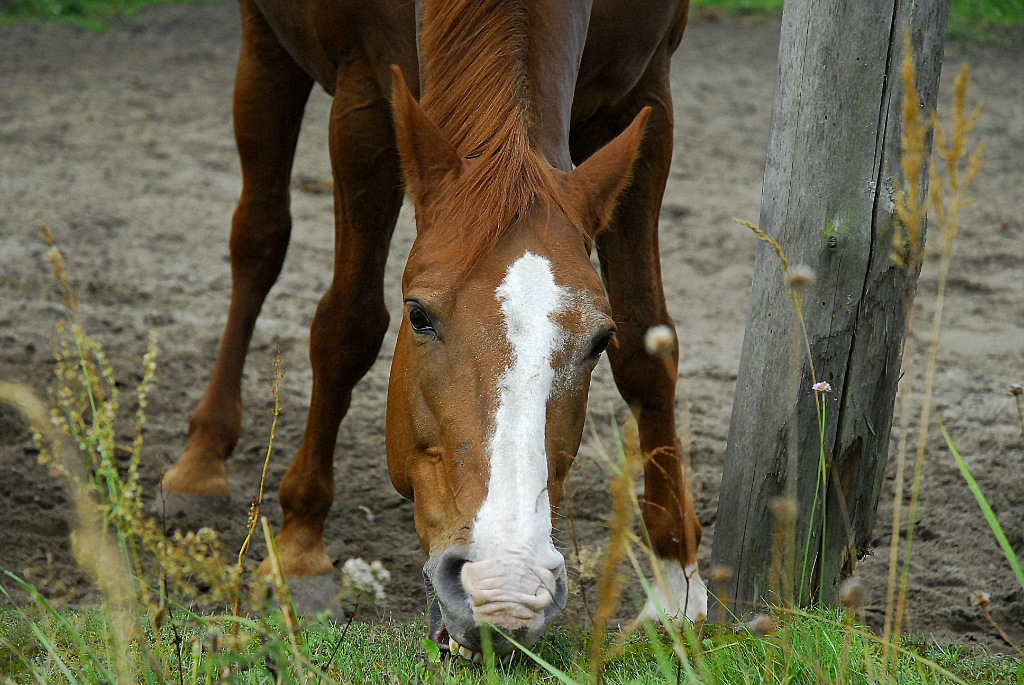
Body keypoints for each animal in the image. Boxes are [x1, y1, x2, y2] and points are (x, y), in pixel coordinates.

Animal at [159, 0, 708, 655]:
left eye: (599, 340)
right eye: (418, 316)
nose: (505, 591)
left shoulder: (645, 94)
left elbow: (649, 345)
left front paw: (676, 587)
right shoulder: (363, 101)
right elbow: (346, 326)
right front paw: (298, 550)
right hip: (265, 45)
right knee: (258, 240)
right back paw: (200, 460)